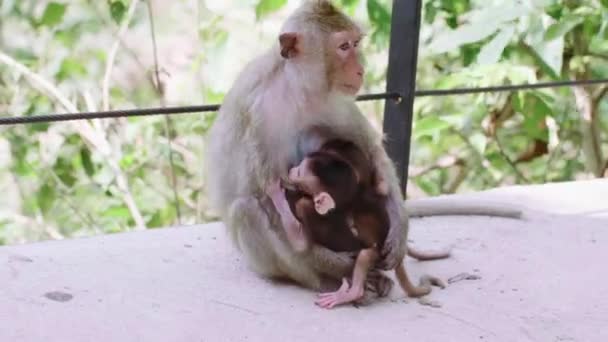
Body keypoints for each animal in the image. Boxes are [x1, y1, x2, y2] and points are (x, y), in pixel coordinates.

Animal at [268, 127, 444, 310]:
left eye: (299, 172)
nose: (291, 170)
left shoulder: (311, 208)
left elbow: (300, 244)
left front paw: (276, 195)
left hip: (375, 253)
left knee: (366, 255)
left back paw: (352, 292)